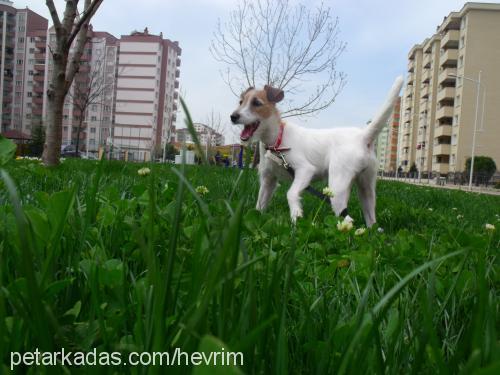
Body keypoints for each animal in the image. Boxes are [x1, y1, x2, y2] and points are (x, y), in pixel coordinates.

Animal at [229, 77, 402, 226]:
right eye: (240, 102)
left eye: (256, 103)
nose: (233, 116)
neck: (277, 140)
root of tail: (362, 136)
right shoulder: (268, 181)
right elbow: (260, 204)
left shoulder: (304, 170)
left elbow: (291, 193)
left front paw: (296, 215)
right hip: (366, 189)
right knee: (370, 219)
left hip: (337, 188)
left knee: (347, 219)